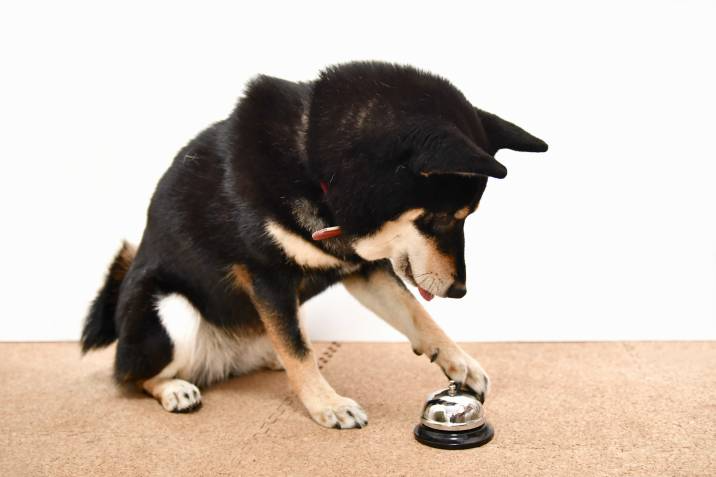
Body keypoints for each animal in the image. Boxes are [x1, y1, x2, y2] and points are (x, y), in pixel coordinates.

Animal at [81, 60, 544, 428]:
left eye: (467, 217)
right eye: (445, 218)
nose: (461, 290)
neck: (314, 169)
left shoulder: (364, 270)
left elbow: (417, 316)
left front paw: (460, 361)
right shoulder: (266, 274)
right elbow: (299, 351)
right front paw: (328, 405)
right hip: (169, 308)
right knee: (131, 375)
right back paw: (175, 388)